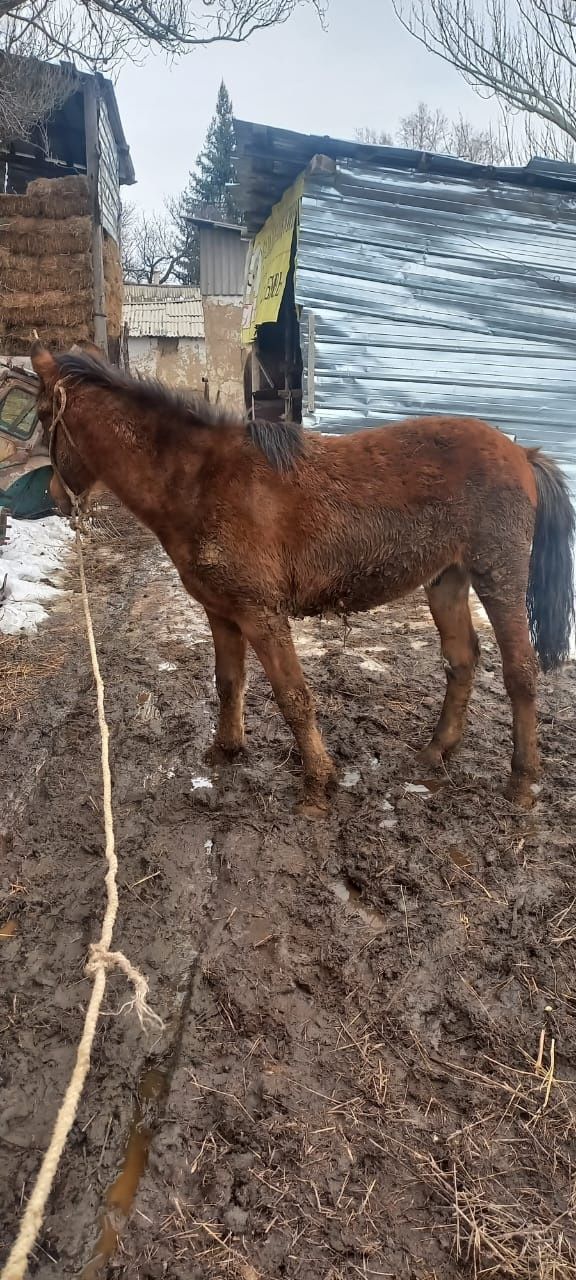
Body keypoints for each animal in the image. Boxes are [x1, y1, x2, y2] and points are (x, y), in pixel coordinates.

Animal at [33, 345, 573, 814]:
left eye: (41, 417)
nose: (54, 497)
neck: (202, 481)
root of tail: (522, 454)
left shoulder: (261, 614)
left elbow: (293, 697)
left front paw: (318, 781)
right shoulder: (220, 612)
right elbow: (229, 682)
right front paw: (226, 750)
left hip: (498, 576)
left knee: (520, 672)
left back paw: (522, 781)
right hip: (446, 580)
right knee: (461, 661)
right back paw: (435, 751)